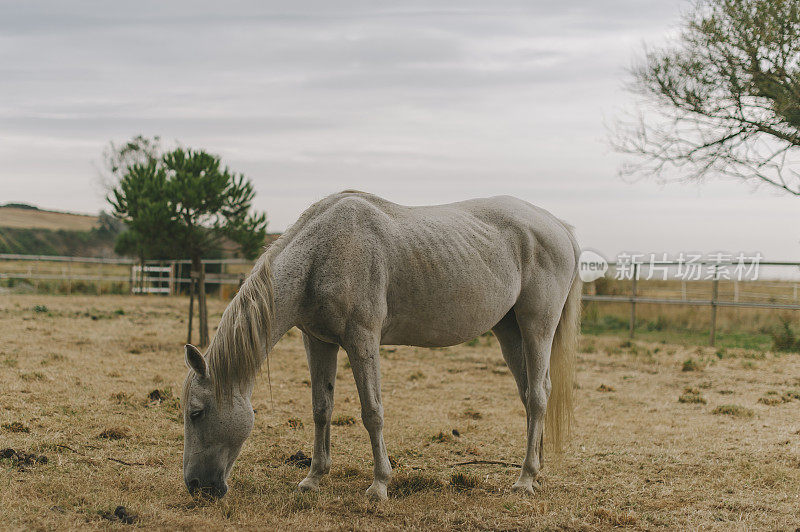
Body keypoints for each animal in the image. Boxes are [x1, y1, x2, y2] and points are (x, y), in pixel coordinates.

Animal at [181, 189, 580, 500]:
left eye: (195, 413)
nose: (195, 485)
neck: (320, 255)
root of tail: (560, 227)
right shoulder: (318, 343)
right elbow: (321, 409)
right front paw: (313, 478)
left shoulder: (362, 341)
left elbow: (372, 413)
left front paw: (379, 485)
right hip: (509, 332)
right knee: (529, 394)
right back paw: (536, 468)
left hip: (537, 327)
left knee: (538, 395)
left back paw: (525, 479)